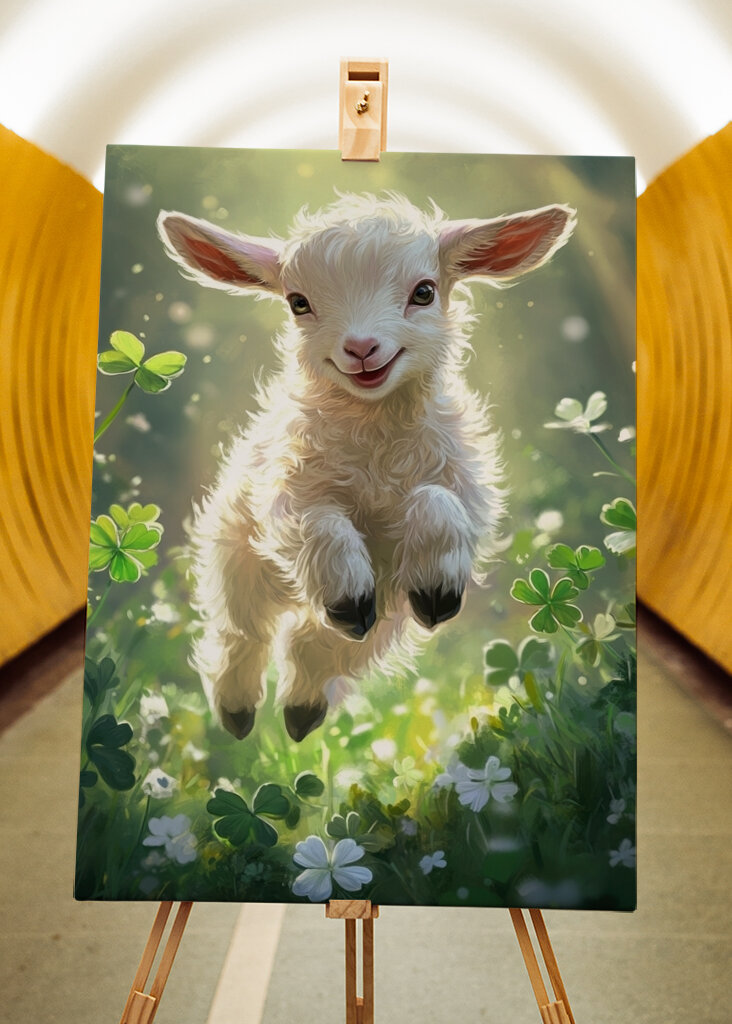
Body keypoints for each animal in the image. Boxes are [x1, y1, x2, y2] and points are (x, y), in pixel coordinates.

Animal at [158, 192, 575, 741]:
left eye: (424, 292)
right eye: (298, 303)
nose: (360, 349)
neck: (377, 440)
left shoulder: (464, 492)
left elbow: (436, 503)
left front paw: (436, 589)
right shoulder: (285, 496)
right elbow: (320, 524)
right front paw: (346, 591)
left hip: (388, 613)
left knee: (322, 645)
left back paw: (302, 709)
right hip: (237, 562)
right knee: (244, 633)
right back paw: (239, 709)